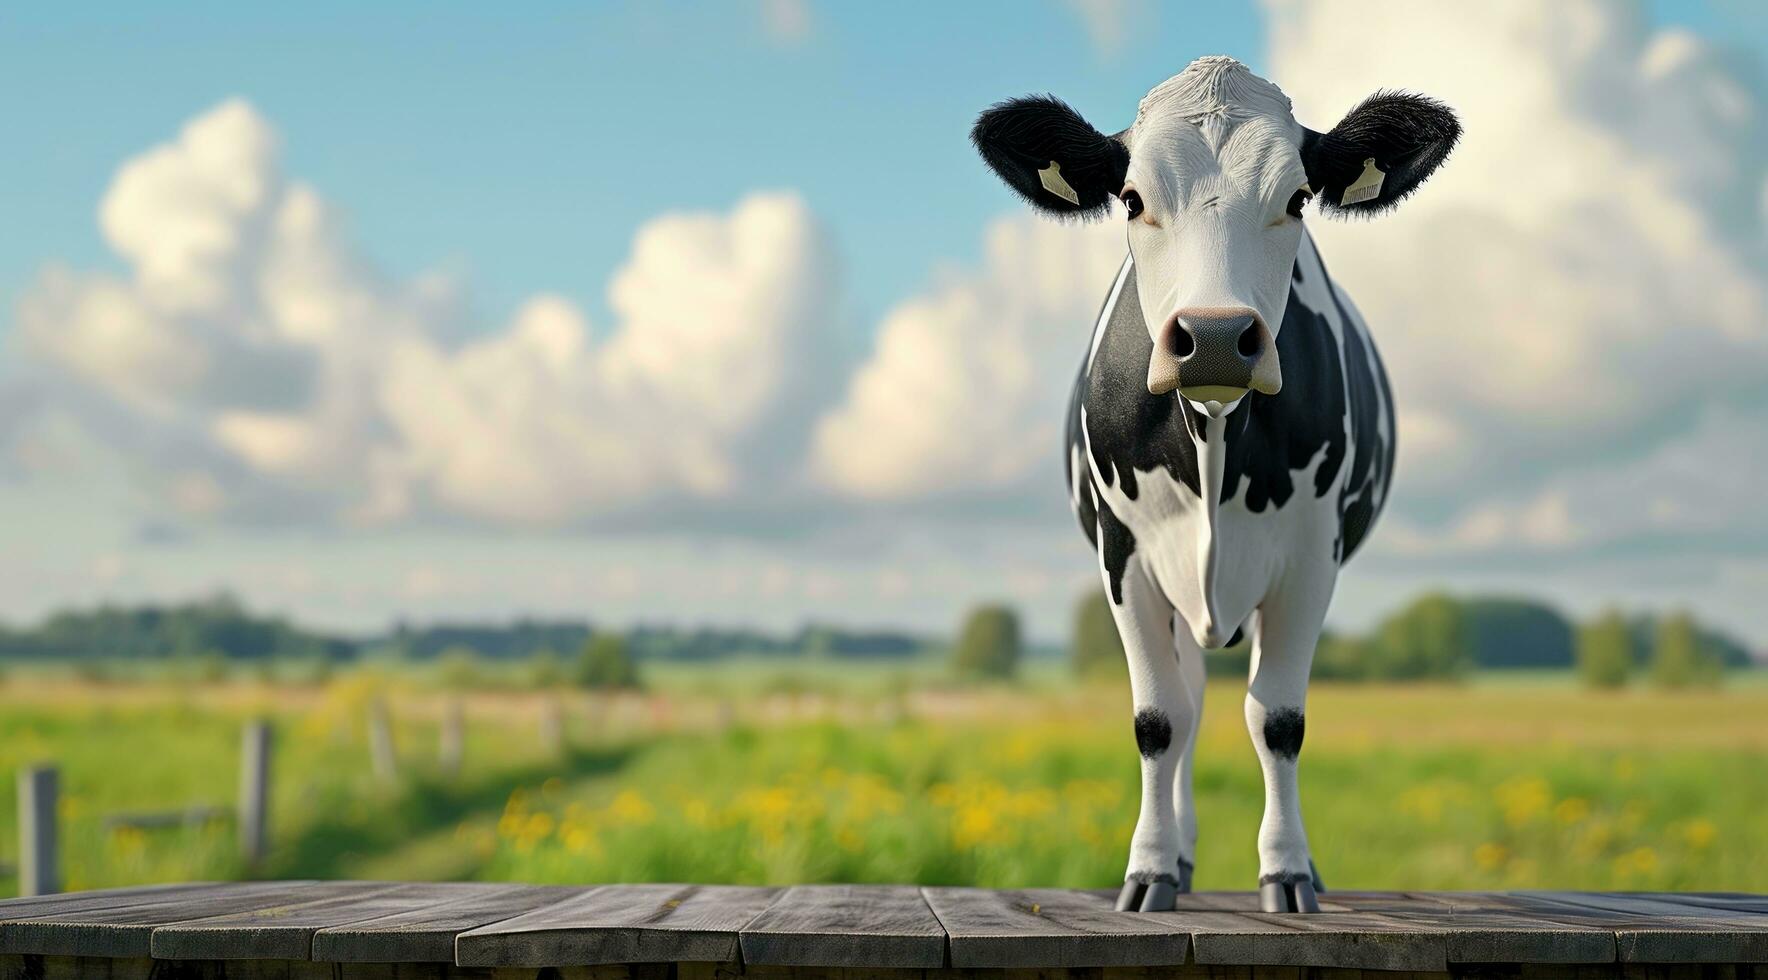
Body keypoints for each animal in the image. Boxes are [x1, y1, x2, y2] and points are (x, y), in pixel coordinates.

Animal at [975, 55, 1456, 905]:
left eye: (1297, 198)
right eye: (1133, 199)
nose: (1217, 338)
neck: (1213, 439)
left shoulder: (1310, 558)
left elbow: (1279, 719)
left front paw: (1288, 870)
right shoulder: (1124, 554)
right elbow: (1159, 720)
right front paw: (1149, 868)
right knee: (1192, 704)